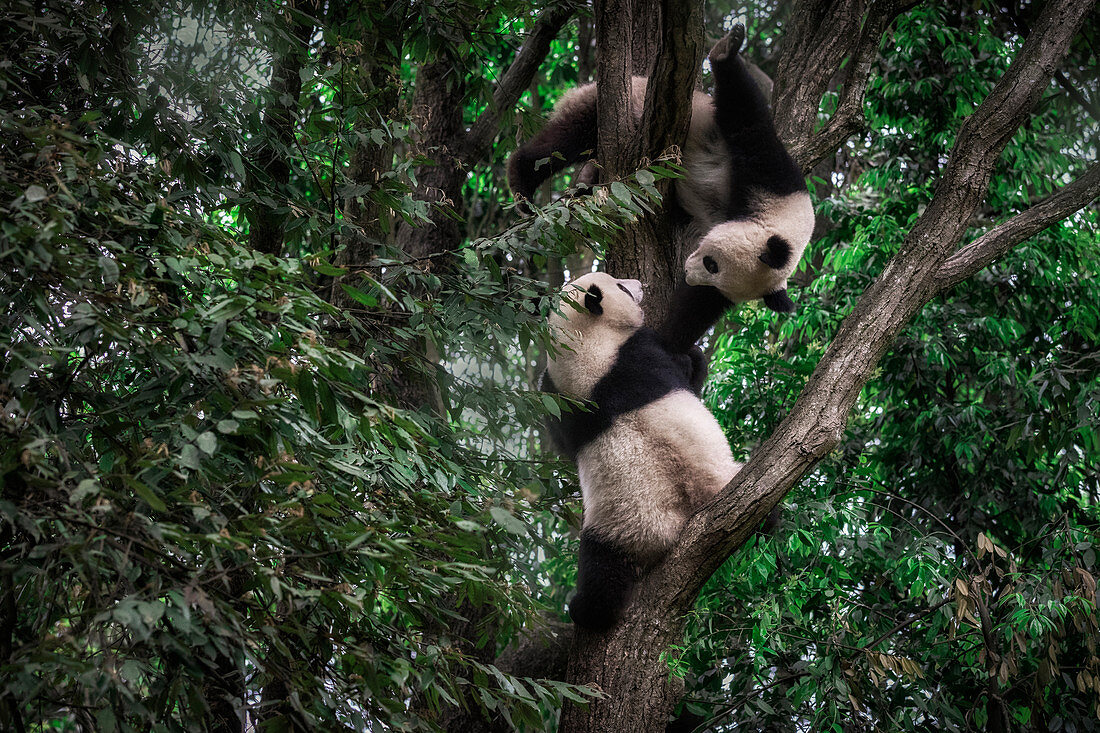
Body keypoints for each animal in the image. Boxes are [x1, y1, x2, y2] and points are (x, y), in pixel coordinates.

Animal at [510, 27, 814, 347]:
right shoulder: (772, 178)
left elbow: (695, 310)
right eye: (712, 264)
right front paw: (727, 49)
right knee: (563, 141)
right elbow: (746, 119)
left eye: (714, 274)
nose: (688, 273)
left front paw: (668, 335)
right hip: (615, 105)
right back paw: (523, 187)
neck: (783, 221)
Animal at [539, 270, 739, 625]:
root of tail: (675, 526)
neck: (583, 343)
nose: (640, 285)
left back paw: (588, 611)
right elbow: (687, 367)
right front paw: (695, 357)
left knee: (602, 568)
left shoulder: (562, 402)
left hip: (613, 531)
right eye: (620, 286)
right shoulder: (640, 352)